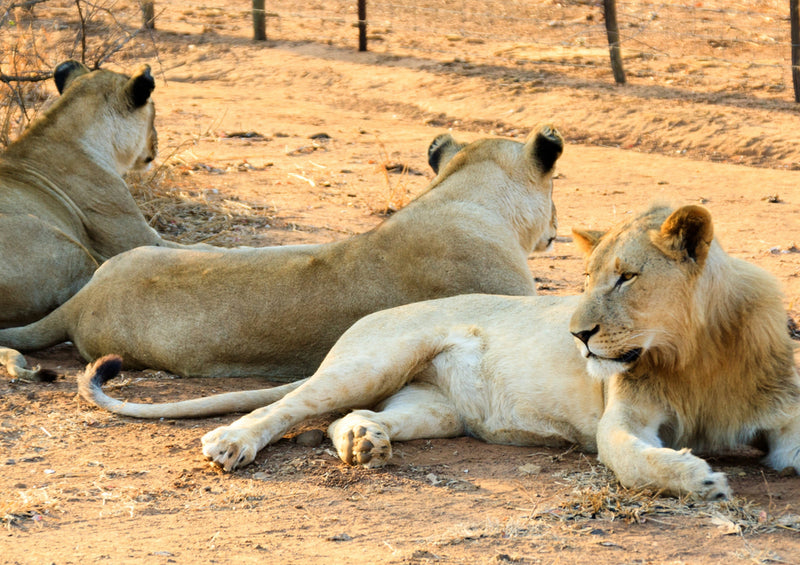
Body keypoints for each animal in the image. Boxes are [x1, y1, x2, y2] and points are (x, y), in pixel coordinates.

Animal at [79, 204, 800, 498]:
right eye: (589, 277)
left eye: (625, 278)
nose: (577, 334)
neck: (695, 354)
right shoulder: (619, 420)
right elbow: (630, 458)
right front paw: (699, 479)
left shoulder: (785, 414)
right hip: (375, 357)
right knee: (286, 408)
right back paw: (231, 443)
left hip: (434, 408)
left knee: (345, 418)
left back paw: (364, 443)